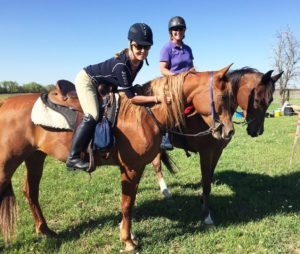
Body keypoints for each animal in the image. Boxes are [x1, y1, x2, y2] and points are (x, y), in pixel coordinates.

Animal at [0, 65, 234, 250]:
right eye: (223, 97)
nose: (228, 131)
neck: (144, 113)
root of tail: (4, 105)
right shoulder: (131, 168)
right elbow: (127, 204)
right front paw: (128, 241)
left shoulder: (136, 168)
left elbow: (129, 203)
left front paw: (128, 234)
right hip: (7, 164)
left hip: (35, 157)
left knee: (30, 192)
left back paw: (45, 230)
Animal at [152, 68, 284, 224]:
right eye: (257, 100)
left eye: (270, 101)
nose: (257, 131)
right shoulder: (206, 153)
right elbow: (206, 183)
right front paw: (206, 216)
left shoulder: (217, 152)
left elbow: (208, 179)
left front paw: (203, 204)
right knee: (156, 165)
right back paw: (165, 191)